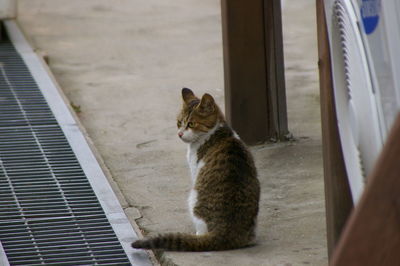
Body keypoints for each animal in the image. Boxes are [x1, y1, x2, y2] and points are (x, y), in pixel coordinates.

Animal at [131, 88, 260, 251]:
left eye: (191, 123)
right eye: (179, 122)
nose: (180, 134)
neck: (214, 132)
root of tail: (225, 232)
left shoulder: (194, 170)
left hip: (193, 197)